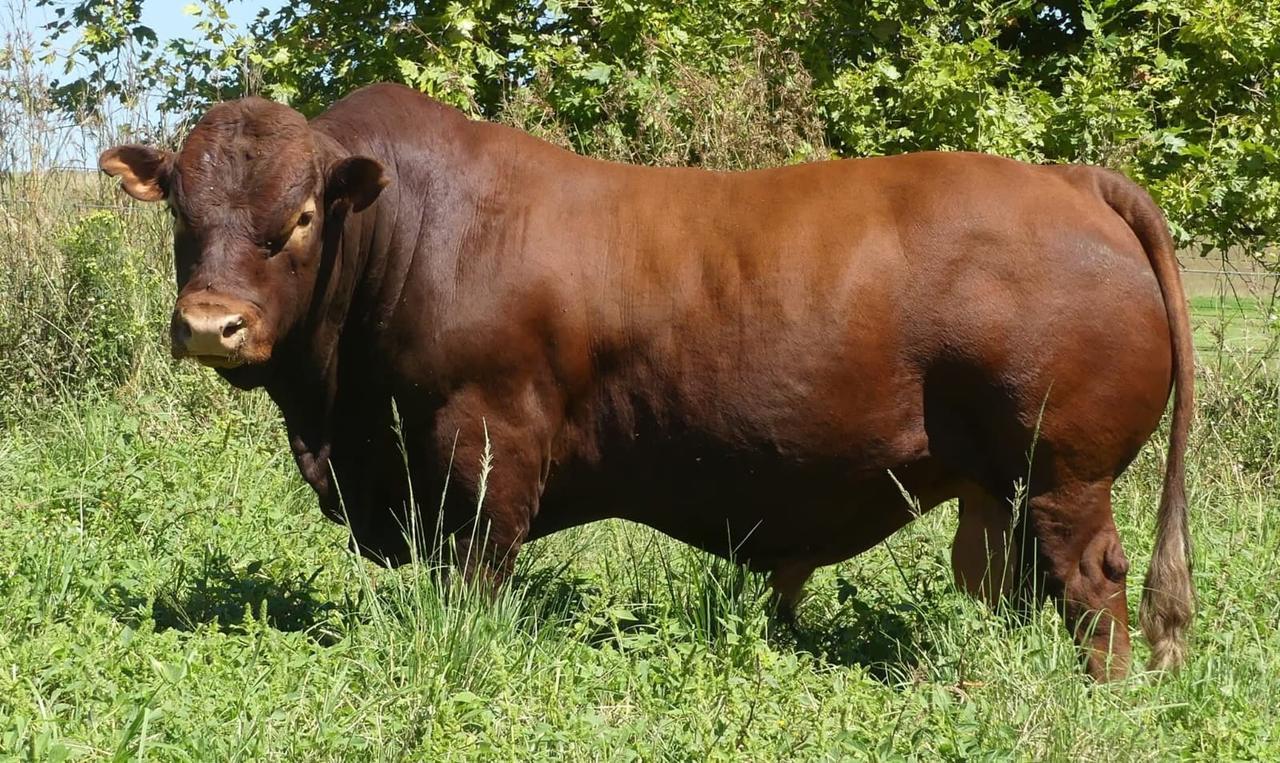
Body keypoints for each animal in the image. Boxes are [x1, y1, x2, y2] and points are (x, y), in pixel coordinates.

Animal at [100, 82, 1194, 681]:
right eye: (181, 211)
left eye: (298, 219)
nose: (211, 324)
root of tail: (1065, 178)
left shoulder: (483, 446)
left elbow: (473, 574)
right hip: (998, 483)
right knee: (1014, 577)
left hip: (1063, 470)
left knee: (1090, 579)